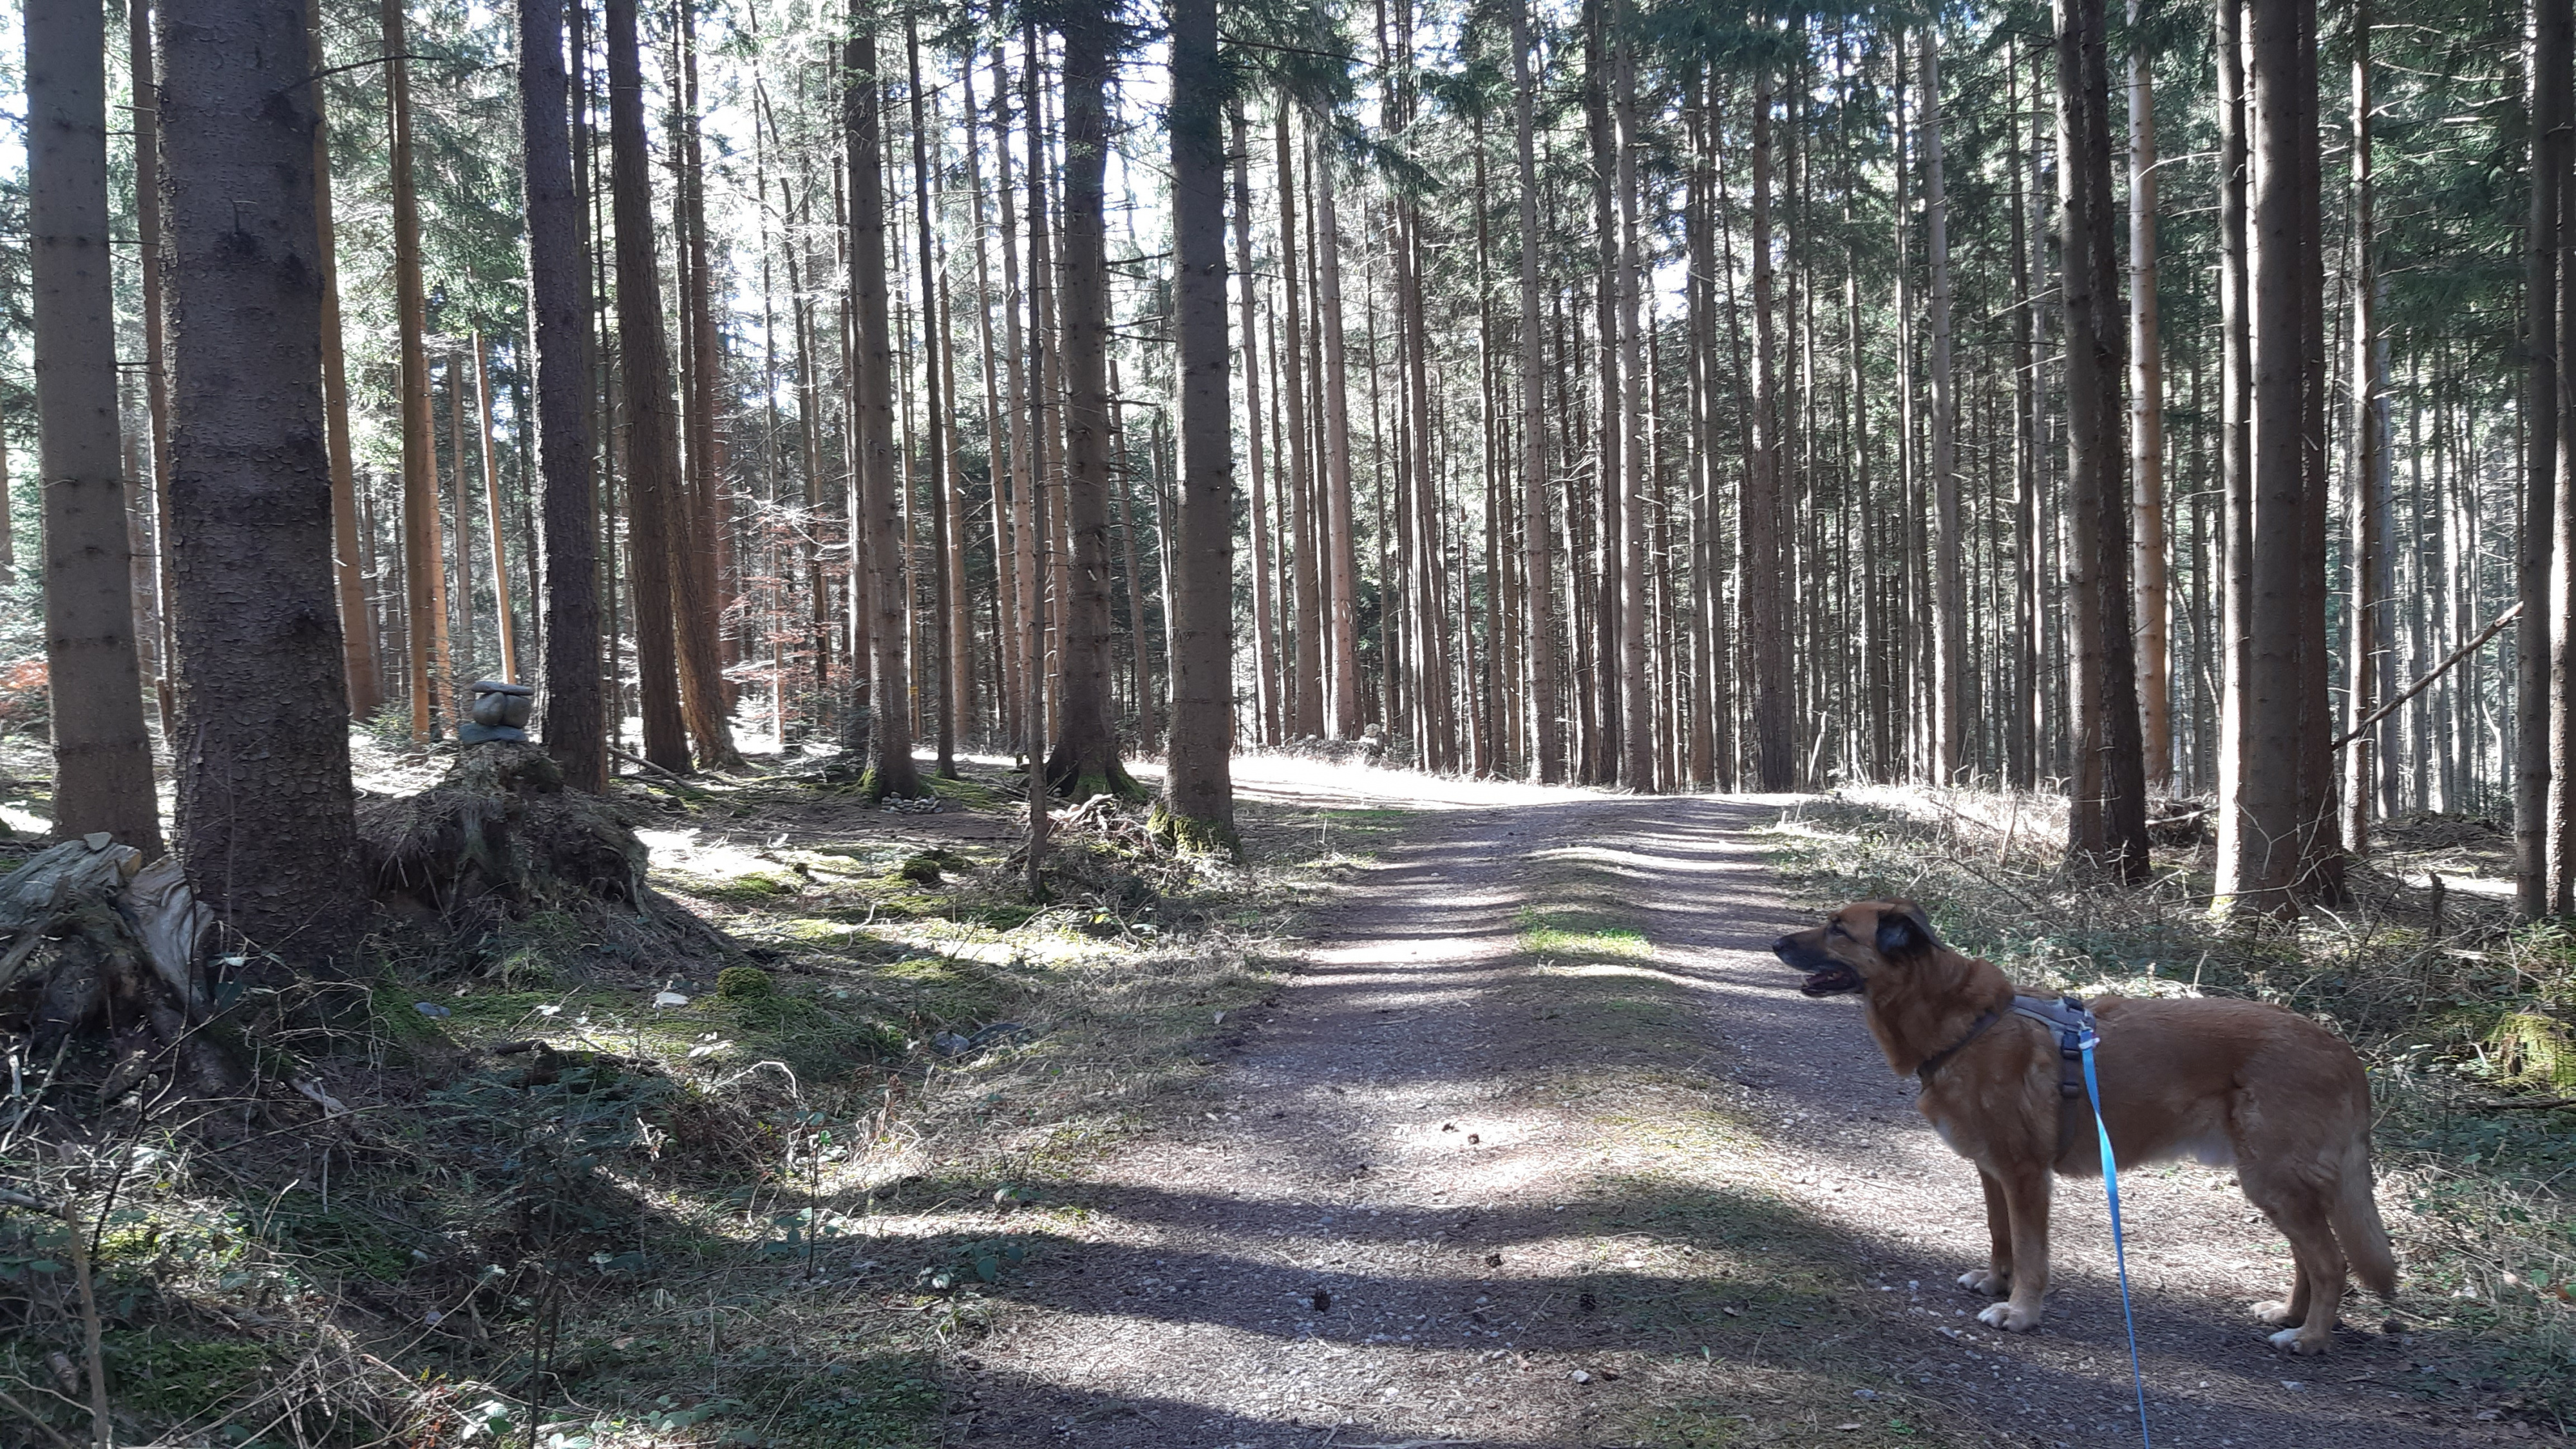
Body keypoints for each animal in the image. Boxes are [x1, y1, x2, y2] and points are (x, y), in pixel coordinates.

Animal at [1773, 900, 2395, 1354]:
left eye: (1837, 929)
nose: (1776, 944)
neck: (1966, 1023)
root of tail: (2342, 1052)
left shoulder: (2025, 1176)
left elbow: (2031, 1252)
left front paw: (2021, 1311)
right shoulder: (1993, 1172)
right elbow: (2001, 1235)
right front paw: (1997, 1282)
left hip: (2274, 1180)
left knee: (2330, 1263)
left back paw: (2309, 1337)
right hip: (2276, 1186)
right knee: (2309, 1259)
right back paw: (2290, 1314)